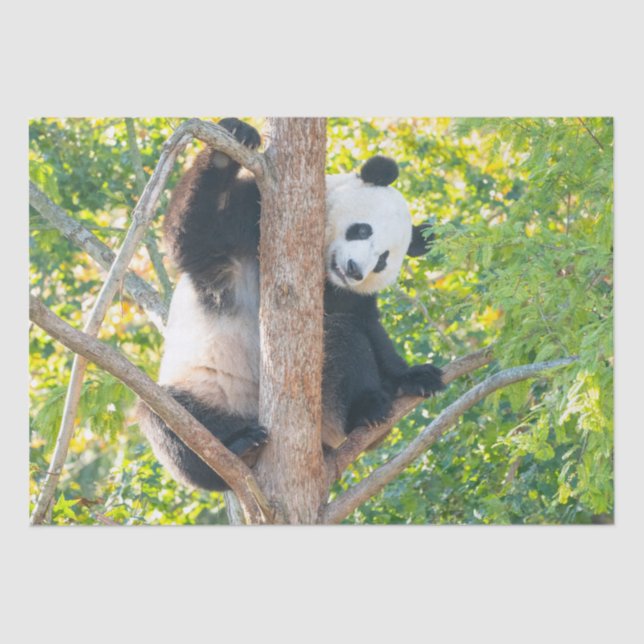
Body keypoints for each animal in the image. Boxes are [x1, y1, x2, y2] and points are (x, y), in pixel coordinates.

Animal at [138, 118, 444, 491]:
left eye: (383, 260)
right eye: (362, 230)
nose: (354, 270)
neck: (323, 270)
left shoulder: (347, 295)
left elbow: (367, 327)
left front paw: (416, 376)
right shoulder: (252, 218)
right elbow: (193, 236)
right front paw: (237, 137)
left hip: (324, 410)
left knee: (342, 339)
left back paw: (367, 411)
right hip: (206, 391)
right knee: (165, 418)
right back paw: (236, 445)